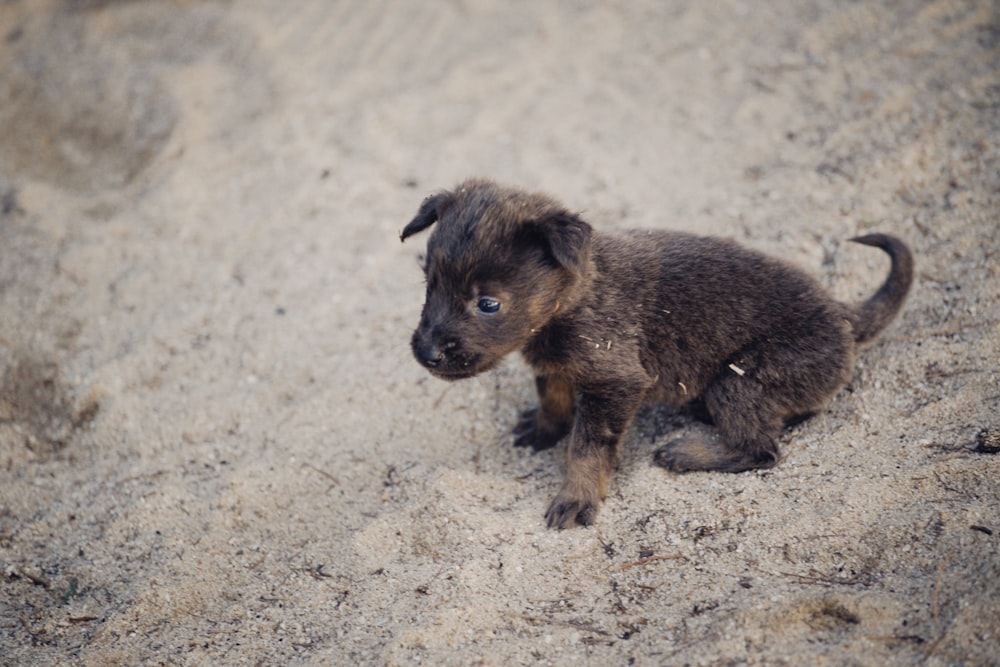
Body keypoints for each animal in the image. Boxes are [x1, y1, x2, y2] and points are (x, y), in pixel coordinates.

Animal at [398, 180, 916, 528]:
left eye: (488, 304)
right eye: (428, 284)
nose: (426, 352)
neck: (577, 295)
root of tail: (843, 316)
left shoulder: (614, 384)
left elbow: (586, 448)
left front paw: (576, 499)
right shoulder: (560, 368)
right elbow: (553, 402)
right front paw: (544, 431)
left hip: (739, 380)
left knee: (761, 448)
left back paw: (686, 451)